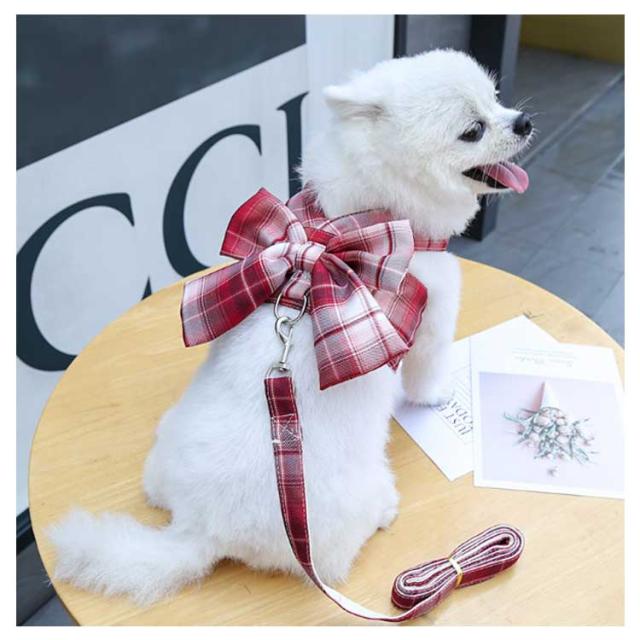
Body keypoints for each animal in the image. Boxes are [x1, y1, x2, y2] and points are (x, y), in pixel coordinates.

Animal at [49, 49, 532, 606]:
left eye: (496, 99)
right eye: (473, 130)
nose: (523, 121)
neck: (363, 218)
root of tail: (199, 528)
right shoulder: (432, 316)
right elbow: (427, 372)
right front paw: (435, 399)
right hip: (344, 512)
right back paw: (384, 509)